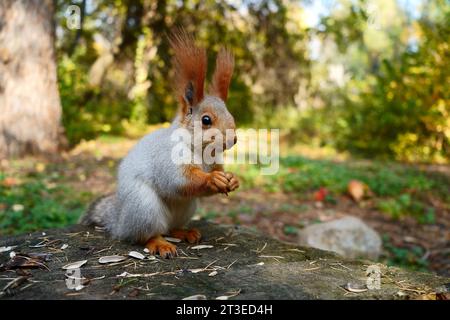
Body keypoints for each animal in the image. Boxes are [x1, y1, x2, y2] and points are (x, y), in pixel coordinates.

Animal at [79, 30, 239, 258]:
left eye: (231, 115)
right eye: (206, 120)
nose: (233, 139)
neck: (200, 151)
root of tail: (121, 224)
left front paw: (231, 179)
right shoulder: (166, 159)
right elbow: (179, 180)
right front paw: (212, 179)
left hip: (187, 207)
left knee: (170, 228)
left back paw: (185, 232)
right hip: (144, 207)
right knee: (145, 235)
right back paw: (161, 244)